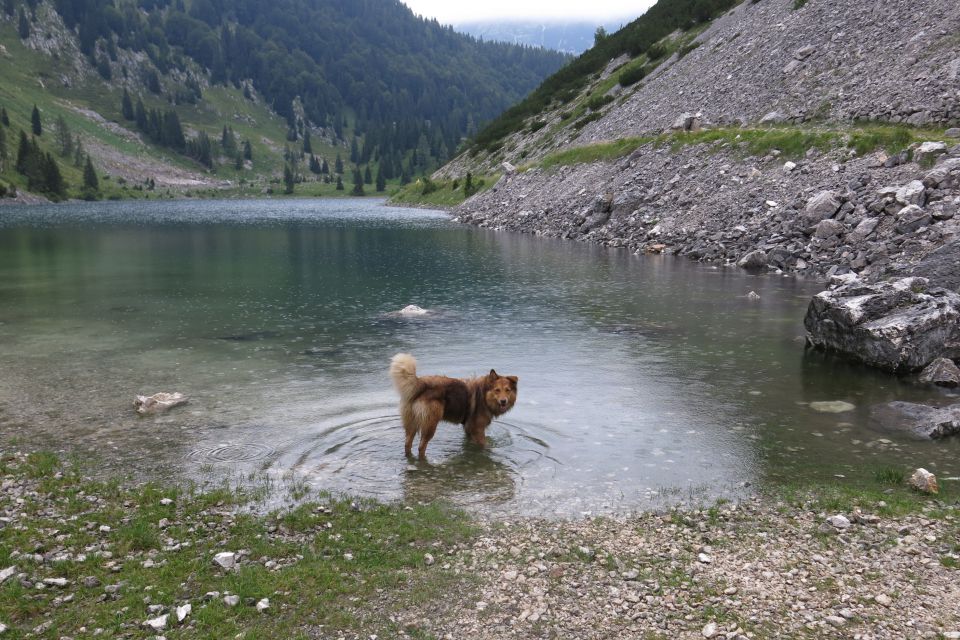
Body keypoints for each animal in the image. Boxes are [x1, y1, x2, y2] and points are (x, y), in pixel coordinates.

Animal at [392, 352, 520, 458]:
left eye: (507, 390)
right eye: (497, 390)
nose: (503, 401)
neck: (484, 395)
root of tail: (421, 384)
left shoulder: (468, 428)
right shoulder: (478, 429)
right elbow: (485, 445)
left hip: (412, 425)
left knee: (407, 444)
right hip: (430, 425)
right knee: (421, 447)